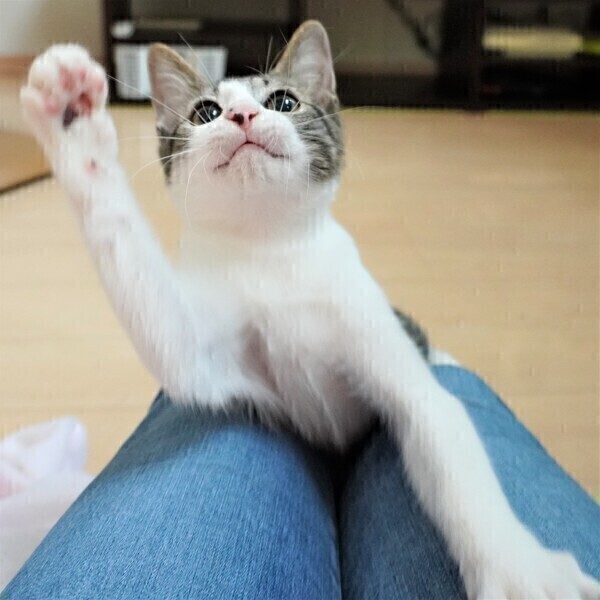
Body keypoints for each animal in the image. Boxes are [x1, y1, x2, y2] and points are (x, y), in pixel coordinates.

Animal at [20, 20, 599, 599]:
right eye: (205, 111)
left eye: (283, 101)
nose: (242, 115)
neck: (272, 254)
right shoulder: (206, 358)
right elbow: (168, 335)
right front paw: (73, 123)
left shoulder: (386, 349)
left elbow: (443, 431)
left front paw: (522, 568)